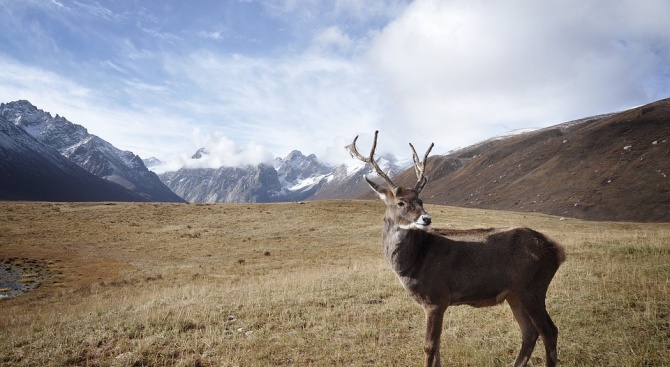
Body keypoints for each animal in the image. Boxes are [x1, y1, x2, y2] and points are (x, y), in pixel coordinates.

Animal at [350, 132, 568, 367]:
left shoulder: (436, 297)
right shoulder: (436, 302)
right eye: (400, 202)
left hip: (532, 287)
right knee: (529, 333)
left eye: (420, 200)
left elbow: (429, 347)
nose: (426, 218)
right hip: (515, 293)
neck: (413, 263)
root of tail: (557, 250)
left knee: (549, 330)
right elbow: (437, 347)